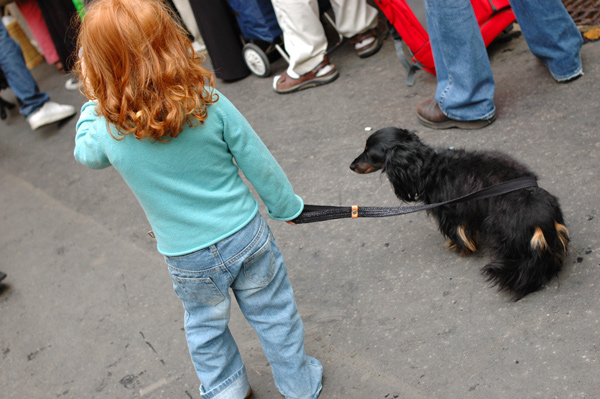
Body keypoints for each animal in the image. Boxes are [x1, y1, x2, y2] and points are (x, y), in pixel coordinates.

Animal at [350, 127, 568, 300]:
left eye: (369, 153)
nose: (351, 166)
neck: (427, 166)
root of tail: (542, 219)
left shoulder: (450, 214)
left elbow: (459, 234)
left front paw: (459, 247)